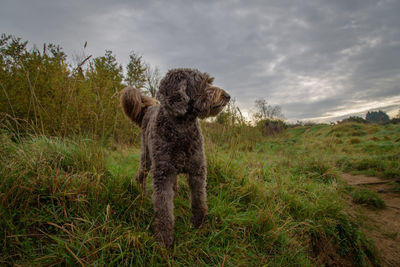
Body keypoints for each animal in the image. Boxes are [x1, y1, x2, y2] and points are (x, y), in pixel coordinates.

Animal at [120, 68, 230, 248]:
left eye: (209, 81)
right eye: (203, 83)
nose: (227, 96)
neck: (182, 127)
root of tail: (148, 109)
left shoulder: (198, 170)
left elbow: (199, 199)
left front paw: (198, 224)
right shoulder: (162, 174)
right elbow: (164, 209)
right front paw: (164, 240)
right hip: (147, 157)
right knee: (141, 175)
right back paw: (141, 192)